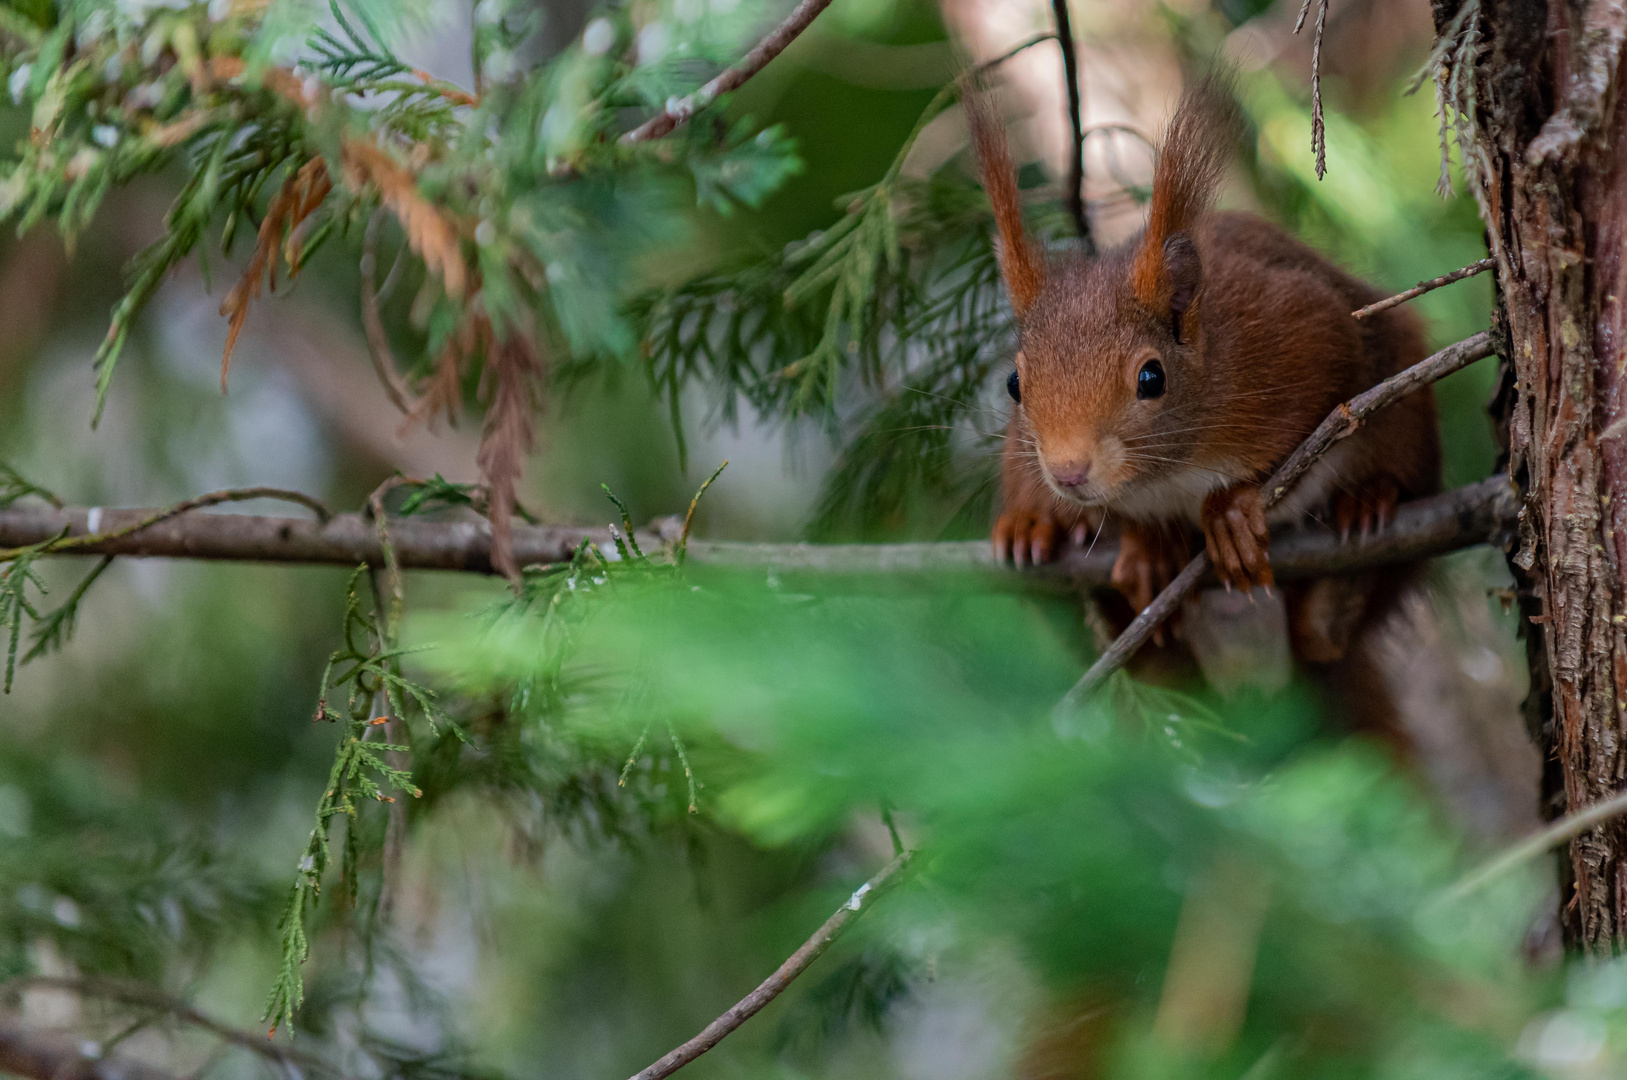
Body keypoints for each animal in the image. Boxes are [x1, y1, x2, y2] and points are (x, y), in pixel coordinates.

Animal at [963, 76, 1438, 663]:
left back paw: (1363, 514)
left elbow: (1326, 404)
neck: (1165, 478)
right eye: (1014, 385)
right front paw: (1145, 545)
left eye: (1151, 378)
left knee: (1327, 633)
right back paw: (1035, 526)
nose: (1068, 473)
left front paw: (1230, 509)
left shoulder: (1301, 336)